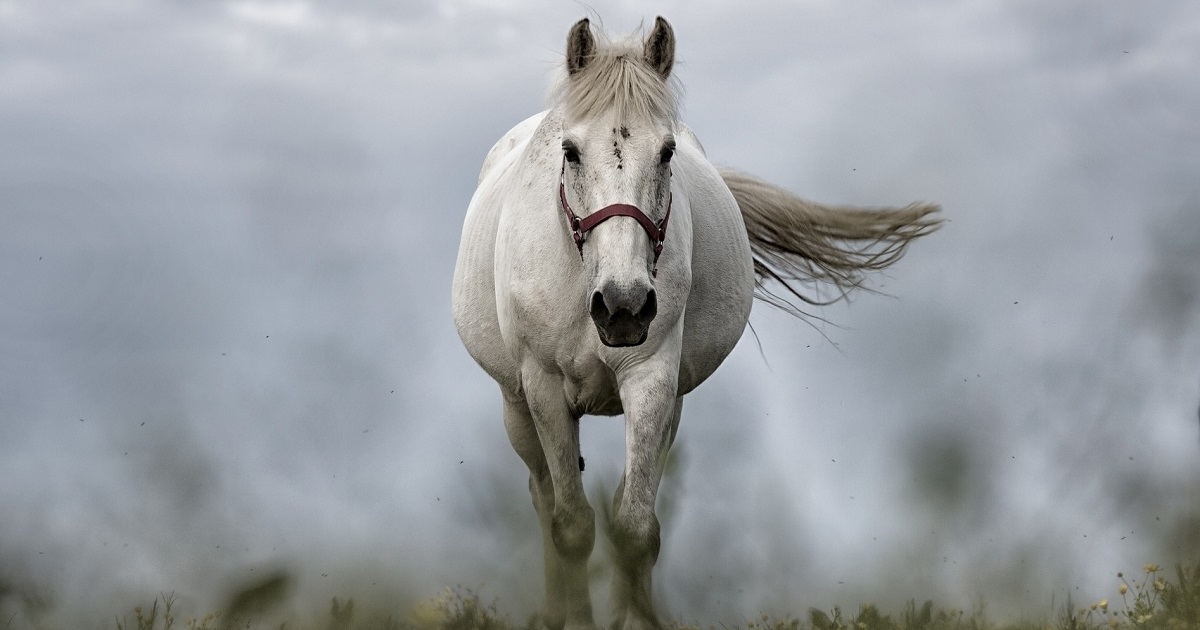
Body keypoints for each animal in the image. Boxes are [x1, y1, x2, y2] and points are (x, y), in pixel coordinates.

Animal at [453, 17, 940, 624]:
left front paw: (635, 620)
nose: (623, 306)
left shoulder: (653, 380)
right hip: (516, 405)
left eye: (666, 152)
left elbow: (635, 529)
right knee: (543, 498)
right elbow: (571, 527)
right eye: (570, 151)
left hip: (670, 406)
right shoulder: (543, 388)